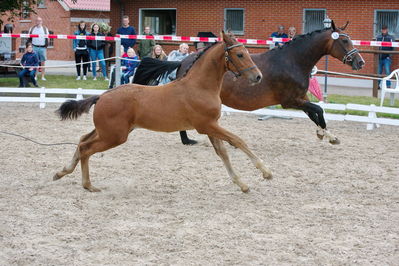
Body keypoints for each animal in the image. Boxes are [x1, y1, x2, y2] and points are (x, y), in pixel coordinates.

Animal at [51, 31, 268, 193]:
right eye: (240, 55)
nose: (258, 76)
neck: (199, 87)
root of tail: (102, 96)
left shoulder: (211, 126)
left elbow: (223, 152)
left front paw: (242, 184)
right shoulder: (207, 125)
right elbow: (238, 141)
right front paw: (266, 172)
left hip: (107, 132)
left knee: (82, 141)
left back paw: (62, 172)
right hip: (114, 136)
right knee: (86, 148)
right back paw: (87, 184)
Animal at [139, 21, 364, 145]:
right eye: (344, 40)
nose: (360, 62)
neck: (292, 60)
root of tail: (183, 61)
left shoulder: (300, 98)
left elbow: (315, 114)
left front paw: (324, 134)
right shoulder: (290, 101)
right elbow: (319, 110)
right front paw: (328, 136)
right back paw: (187, 141)